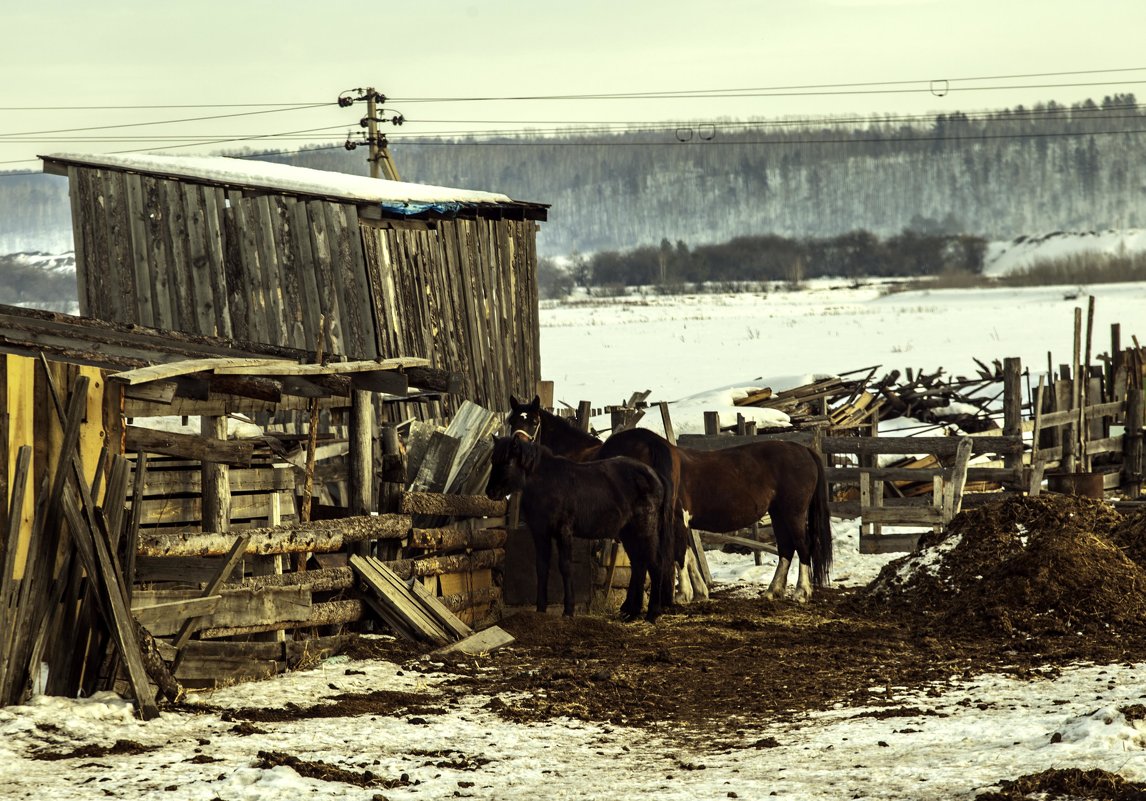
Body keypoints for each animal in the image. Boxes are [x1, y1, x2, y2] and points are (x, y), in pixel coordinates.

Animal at [485, 435, 678, 623]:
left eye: (507, 463)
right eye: (493, 460)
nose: (490, 492)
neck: (548, 481)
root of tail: (655, 475)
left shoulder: (564, 532)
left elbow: (565, 567)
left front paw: (568, 611)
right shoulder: (540, 534)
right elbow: (541, 568)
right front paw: (540, 610)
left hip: (645, 530)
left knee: (655, 564)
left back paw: (652, 614)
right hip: (630, 534)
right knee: (639, 564)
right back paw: (632, 613)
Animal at [511, 394, 834, 600]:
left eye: (533, 421)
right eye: (512, 419)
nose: (516, 449)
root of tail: (805, 450)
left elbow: (678, 552)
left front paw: (682, 594)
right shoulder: (680, 518)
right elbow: (687, 554)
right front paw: (696, 592)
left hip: (792, 512)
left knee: (803, 547)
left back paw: (801, 593)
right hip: (779, 513)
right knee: (787, 548)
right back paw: (772, 591)